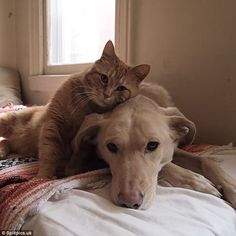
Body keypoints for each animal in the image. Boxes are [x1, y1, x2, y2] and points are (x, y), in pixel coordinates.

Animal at [0, 40, 149, 178]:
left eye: (121, 88)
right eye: (104, 78)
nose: (106, 95)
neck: (85, 106)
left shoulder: (85, 140)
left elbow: (78, 158)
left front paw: (71, 172)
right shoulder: (53, 124)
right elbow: (49, 154)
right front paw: (44, 176)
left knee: (6, 142)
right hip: (9, 121)